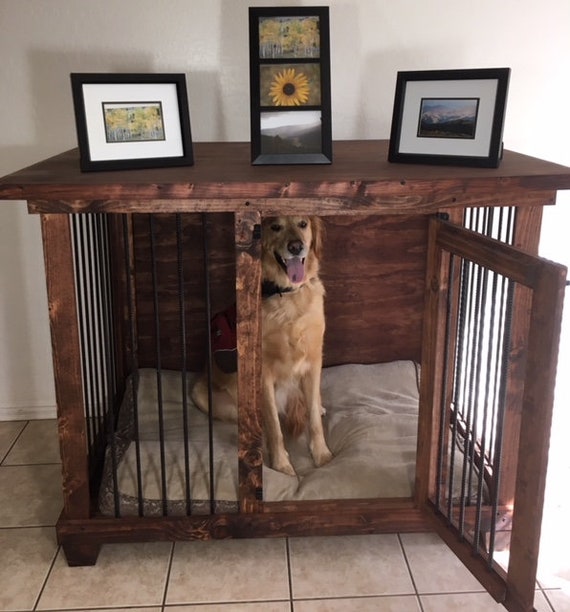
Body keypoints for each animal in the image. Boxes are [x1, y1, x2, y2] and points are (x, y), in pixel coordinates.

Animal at [192, 216, 332, 478]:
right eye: (275, 227)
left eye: (303, 224)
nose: (296, 247)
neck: (287, 296)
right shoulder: (264, 373)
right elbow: (274, 428)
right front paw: (281, 464)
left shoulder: (313, 360)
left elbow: (314, 421)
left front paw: (322, 454)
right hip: (202, 395)